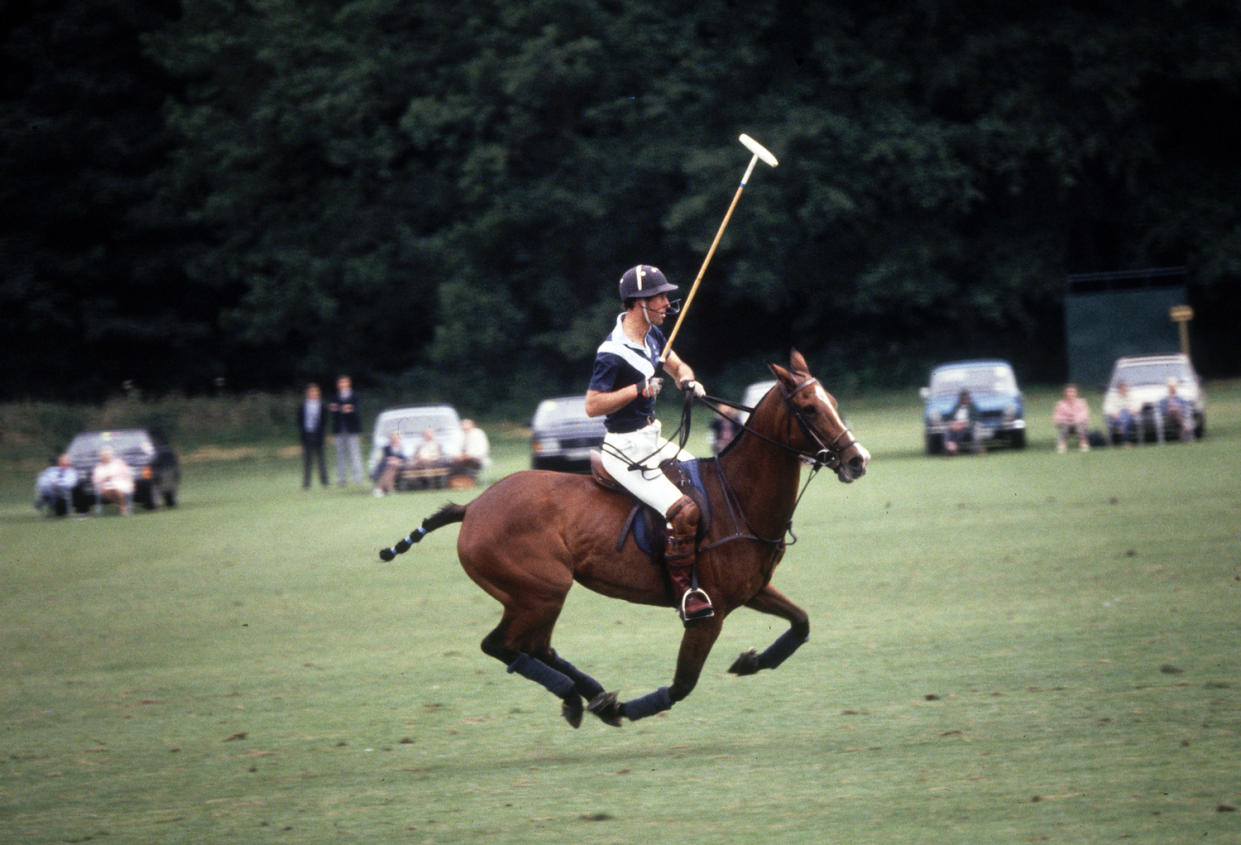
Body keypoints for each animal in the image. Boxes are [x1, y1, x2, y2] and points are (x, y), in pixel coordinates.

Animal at [377, 349, 873, 724]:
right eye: (809, 408)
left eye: (832, 400)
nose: (858, 460)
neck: (738, 495)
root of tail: (473, 507)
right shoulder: (708, 613)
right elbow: (682, 684)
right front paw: (633, 708)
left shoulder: (753, 589)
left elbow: (801, 622)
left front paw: (751, 661)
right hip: (540, 589)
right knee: (501, 645)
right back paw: (584, 698)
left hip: (535, 595)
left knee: (534, 645)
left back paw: (590, 695)